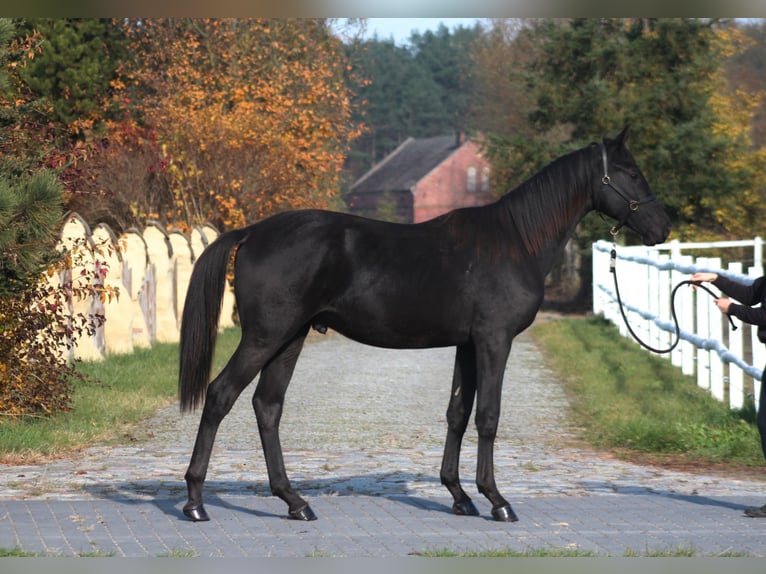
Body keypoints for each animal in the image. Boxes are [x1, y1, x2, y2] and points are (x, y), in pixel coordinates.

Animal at [180, 128, 672, 524]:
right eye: (629, 172)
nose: (661, 229)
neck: (514, 241)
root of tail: (252, 232)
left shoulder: (467, 345)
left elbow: (458, 412)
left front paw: (459, 495)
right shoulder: (494, 341)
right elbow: (488, 415)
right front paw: (497, 500)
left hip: (290, 338)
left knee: (268, 406)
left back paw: (294, 502)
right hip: (265, 337)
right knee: (220, 395)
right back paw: (196, 501)